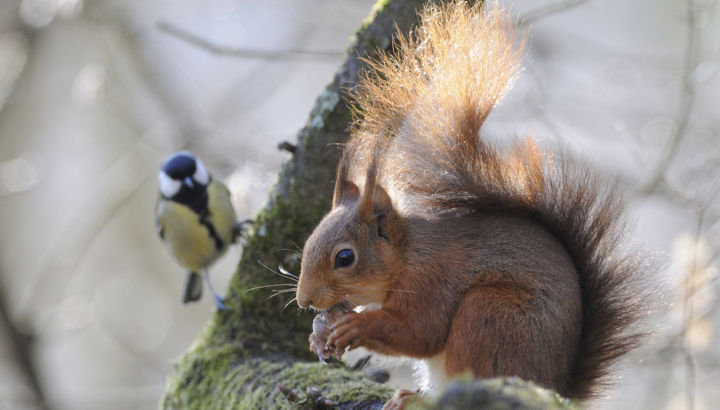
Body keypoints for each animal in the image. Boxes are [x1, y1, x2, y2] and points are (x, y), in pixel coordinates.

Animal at [296, 2, 648, 406]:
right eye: (307, 244)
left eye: (345, 258)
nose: (304, 300)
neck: (405, 256)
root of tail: (553, 388)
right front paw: (318, 336)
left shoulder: (431, 282)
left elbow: (421, 332)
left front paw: (353, 324)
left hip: (490, 316)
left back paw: (420, 399)